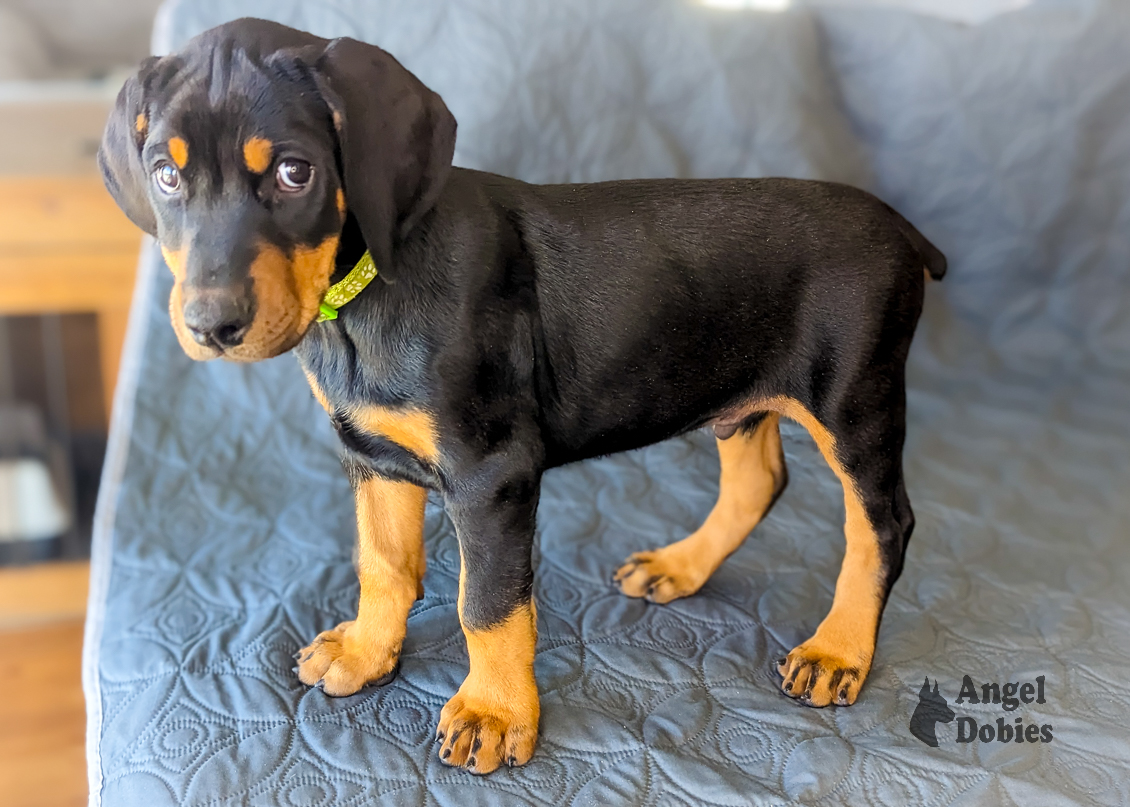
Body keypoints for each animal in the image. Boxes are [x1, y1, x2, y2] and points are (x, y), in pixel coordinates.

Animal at [101, 18, 944, 773]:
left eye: (294, 173)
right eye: (166, 174)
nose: (210, 325)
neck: (365, 299)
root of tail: (907, 232)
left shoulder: (491, 473)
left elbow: (488, 601)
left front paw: (494, 712)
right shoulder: (371, 454)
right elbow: (384, 562)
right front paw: (369, 650)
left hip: (854, 399)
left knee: (882, 524)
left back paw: (838, 649)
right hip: (740, 394)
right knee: (759, 480)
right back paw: (683, 565)